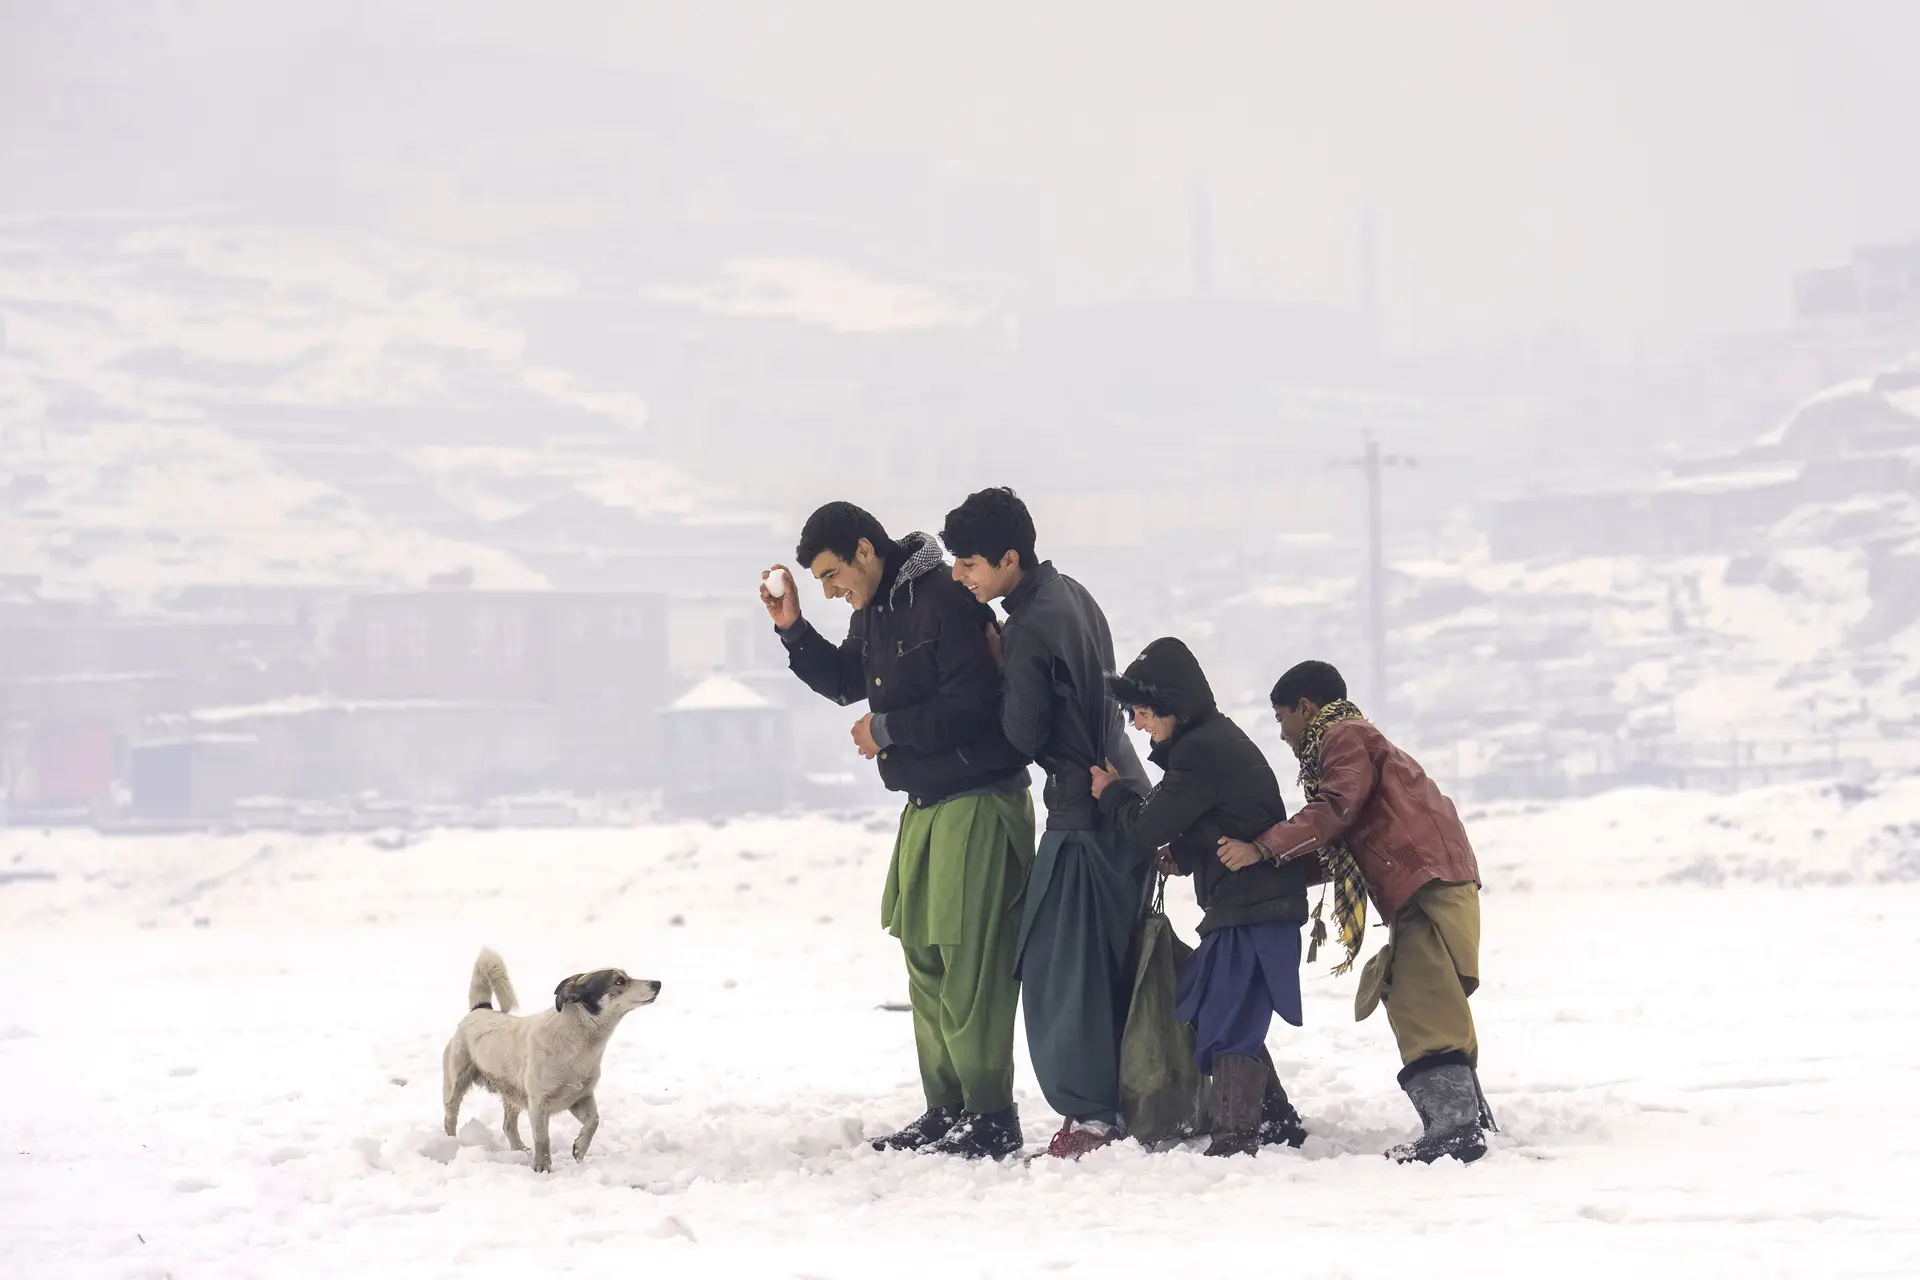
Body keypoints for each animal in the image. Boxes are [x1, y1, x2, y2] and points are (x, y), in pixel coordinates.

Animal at [441, 951, 660, 1174]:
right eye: (619, 980)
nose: (658, 983)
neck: (578, 1040)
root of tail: (479, 1009)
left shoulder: (580, 1097)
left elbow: (594, 1121)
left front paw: (579, 1148)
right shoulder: (538, 1103)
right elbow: (542, 1138)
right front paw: (542, 1167)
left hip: (513, 1092)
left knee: (508, 1125)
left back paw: (521, 1150)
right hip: (455, 1085)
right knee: (450, 1119)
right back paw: (450, 1144)